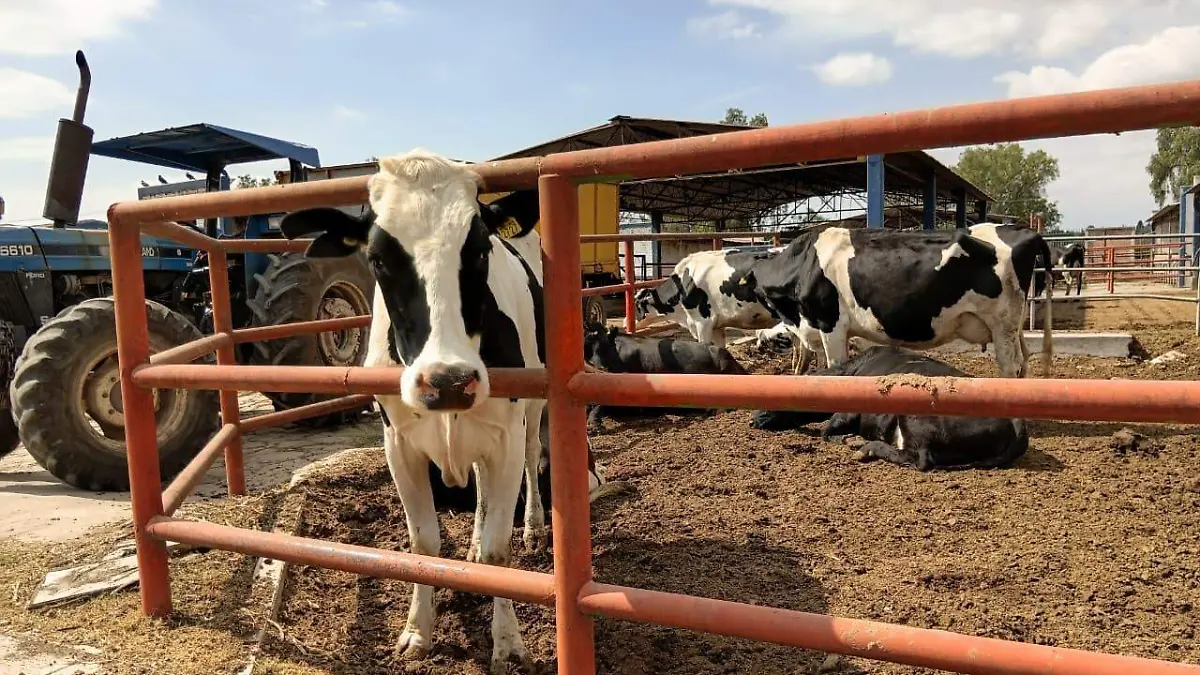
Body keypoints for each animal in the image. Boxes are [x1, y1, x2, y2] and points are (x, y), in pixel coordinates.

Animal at [276, 149, 548, 671]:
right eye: (377, 258)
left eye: (479, 250)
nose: (449, 381)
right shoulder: (398, 443)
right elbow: (423, 544)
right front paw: (417, 633)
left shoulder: (504, 436)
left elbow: (498, 551)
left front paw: (507, 644)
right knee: (480, 496)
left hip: (535, 402)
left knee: (533, 457)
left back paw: (534, 528)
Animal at [738, 223, 1055, 379]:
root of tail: (1026, 231)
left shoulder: (831, 325)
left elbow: (835, 365)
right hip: (1014, 327)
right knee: (1024, 361)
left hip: (1002, 325)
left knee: (1010, 368)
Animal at [751, 346, 1029, 471]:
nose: (753, 418)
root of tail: (1017, 424)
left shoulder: (850, 411)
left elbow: (826, 431)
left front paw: (849, 439)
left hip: (915, 418)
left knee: (919, 458)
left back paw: (866, 448)